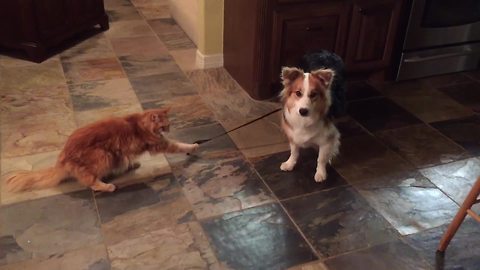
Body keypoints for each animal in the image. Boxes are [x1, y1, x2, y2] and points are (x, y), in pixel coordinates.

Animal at [6, 108, 197, 193]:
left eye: (169, 125)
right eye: (164, 126)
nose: (168, 130)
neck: (139, 123)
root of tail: (62, 157)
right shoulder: (160, 144)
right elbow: (179, 145)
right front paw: (194, 146)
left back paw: (131, 165)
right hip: (103, 155)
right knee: (90, 182)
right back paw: (108, 186)